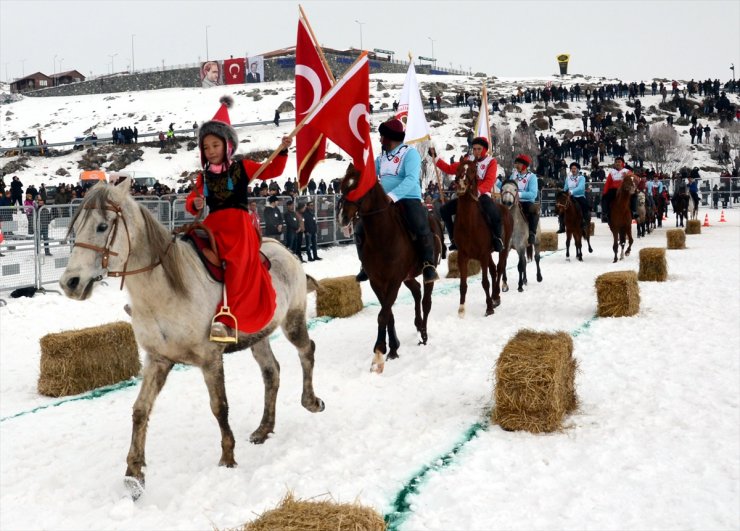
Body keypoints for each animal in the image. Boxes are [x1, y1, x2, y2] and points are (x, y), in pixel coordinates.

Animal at [57, 181, 324, 500]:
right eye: (77, 227)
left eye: (101, 226)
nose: (70, 283)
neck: (166, 291)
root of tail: (285, 249)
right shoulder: (158, 360)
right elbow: (140, 410)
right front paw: (134, 474)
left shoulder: (210, 359)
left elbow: (219, 406)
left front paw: (227, 459)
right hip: (259, 335)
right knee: (272, 372)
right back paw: (263, 428)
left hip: (292, 320)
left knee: (307, 351)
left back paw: (311, 401)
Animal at [336, 165, 446, 374]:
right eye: (343, 186)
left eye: (359, 187)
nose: (342, 218)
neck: (382, 236)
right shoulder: (376, 282)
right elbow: (388, 315)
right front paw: (393, 348)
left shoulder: (394, 281)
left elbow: (383, 315)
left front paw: (379, 354)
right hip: (408, 277)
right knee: (416, 291)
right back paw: (418, 325)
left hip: (425, 272)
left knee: (426, 301)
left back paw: (424, 334)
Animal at [454, 158, 512, 316]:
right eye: (458, 168)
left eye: (473, 170)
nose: (461, 183)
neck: (469, 223)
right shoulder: (462, 256)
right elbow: (463, 284)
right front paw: (461, 309)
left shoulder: (483, 255)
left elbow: (485, 282)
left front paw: (489, 308)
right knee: (493, 270)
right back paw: (494, 297)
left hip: (503, 249)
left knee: (499, 268)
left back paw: (496, 296)